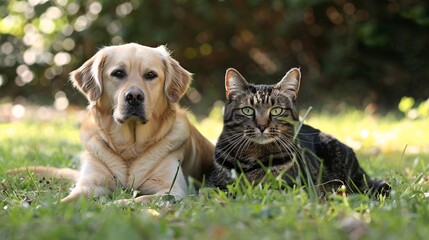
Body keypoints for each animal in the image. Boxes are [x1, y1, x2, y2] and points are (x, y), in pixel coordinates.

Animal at [209, 67, 390, 197]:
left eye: (276, 111)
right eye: (247, 110)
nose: (262, 126)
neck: (254, 154)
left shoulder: (292, 187)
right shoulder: (217, 185)